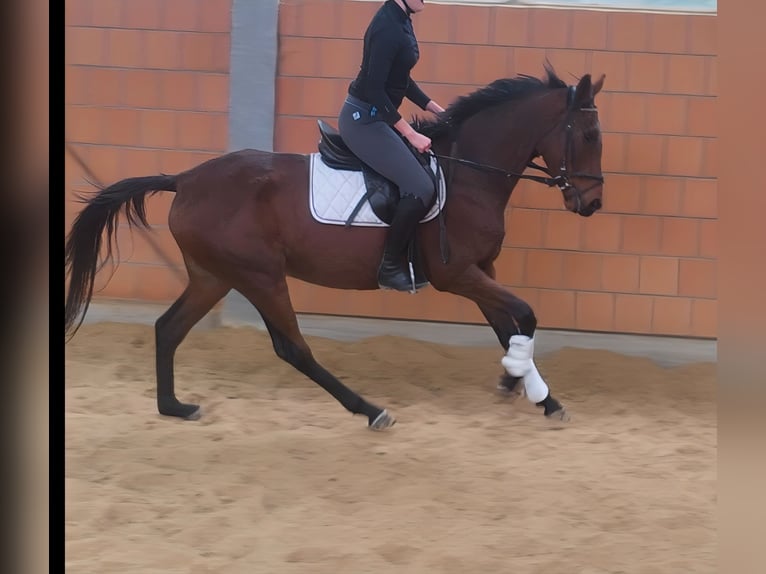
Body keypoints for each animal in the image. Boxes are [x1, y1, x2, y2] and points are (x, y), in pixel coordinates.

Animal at [65, 64, 606, 430]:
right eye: (588, 134)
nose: (593, 203)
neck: (468, 174)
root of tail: (186, 179)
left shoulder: (481, 270)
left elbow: (505, 326)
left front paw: (531, 390)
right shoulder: (457, 274)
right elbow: (526, 314)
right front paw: (525, 383)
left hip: (213, 275)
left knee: (168, 329)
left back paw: (174, 407)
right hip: (259, 276)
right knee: (292, 348)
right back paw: (370, 410)